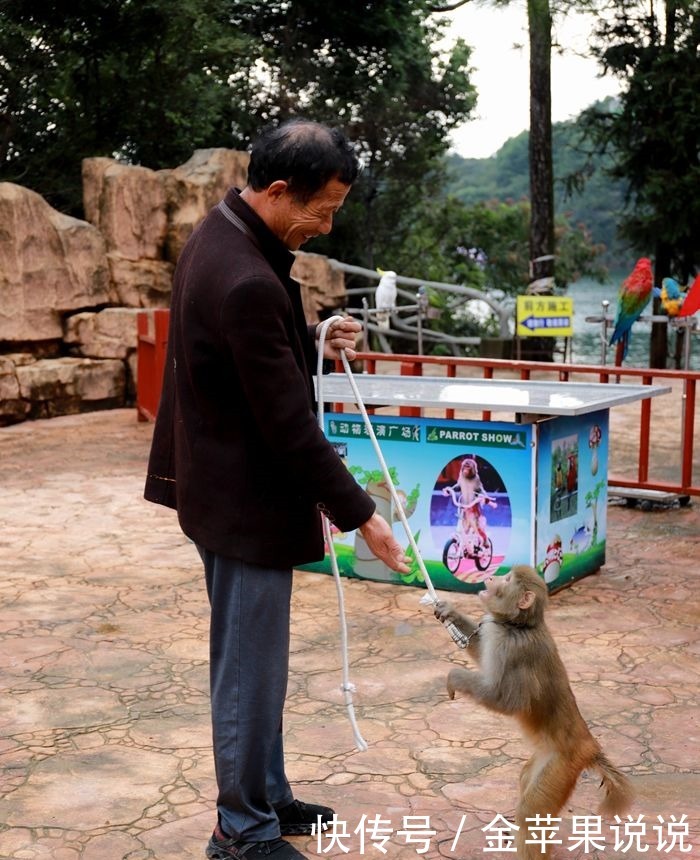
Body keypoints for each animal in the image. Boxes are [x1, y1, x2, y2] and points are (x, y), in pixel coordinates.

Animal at [434, 564, 632, 860]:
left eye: (506, 579)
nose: (491, 577)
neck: (518, 625)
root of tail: (589, 746)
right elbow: (480, 649)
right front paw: (449, 611)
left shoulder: (514, 650)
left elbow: (508, 700)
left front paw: (455, 677)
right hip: (547, 758)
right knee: (527, 781)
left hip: (561, 765)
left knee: (531, 812)